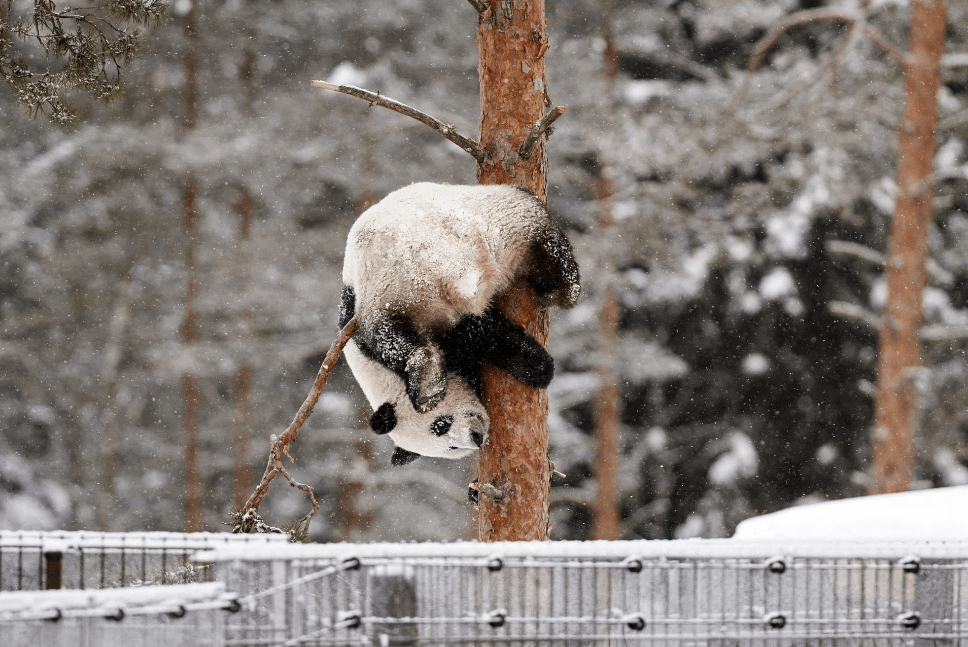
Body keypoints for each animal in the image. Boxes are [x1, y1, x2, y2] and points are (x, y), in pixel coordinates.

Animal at [336, 182, 580, 466]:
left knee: (401, 335)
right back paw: (560, 293)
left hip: (387, 287)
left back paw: (428, 386)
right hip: (496, 230)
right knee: (544, 249)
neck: (379, 377)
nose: (476, 438)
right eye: (450, 447)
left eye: (441, 424)